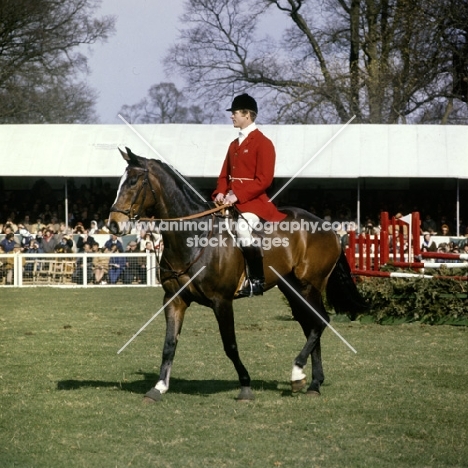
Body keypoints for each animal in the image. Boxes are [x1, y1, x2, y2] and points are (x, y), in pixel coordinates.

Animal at [109, 147, 366, 402]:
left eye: (133, 181)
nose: (113, 224)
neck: (194, 236)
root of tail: (328, 227)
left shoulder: (221, 301)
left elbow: (230, 345)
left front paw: (245, 385)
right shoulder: (174, 299)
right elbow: (169, 343)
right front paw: (159, 387)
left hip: (309, 286)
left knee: (319, 322)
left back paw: (299, 373)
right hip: (291, 288)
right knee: (310, 325)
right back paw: (311, 381)